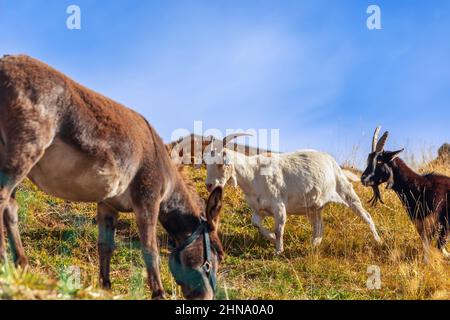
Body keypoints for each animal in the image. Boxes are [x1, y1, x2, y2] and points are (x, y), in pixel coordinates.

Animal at [206, 134, 382, 254]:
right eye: (206, 164)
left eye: (221, 164)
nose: (209, 185)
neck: (253, 174)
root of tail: (333, 162)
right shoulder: (258, 209)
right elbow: (255, 223)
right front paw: (271, 238)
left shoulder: (279, 206)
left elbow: (279, 228)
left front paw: (278, 250)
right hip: (314, 207)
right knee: (319, 225)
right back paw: (314, 244)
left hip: (346, 191)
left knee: (366, 215)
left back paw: (378, 240)